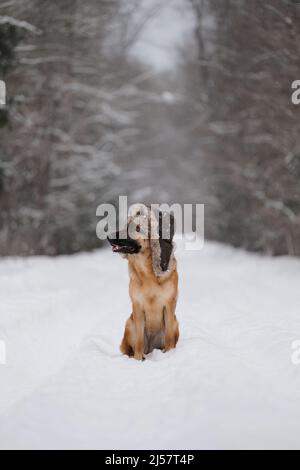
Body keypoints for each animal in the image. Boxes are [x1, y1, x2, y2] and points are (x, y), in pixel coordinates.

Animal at [107, 204, 179, 362]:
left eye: (136, 228)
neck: (148, 275)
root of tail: (151, 347)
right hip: (129, 323)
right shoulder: (138, 307)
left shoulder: (169, 306)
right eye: (125, 225)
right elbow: (139, 340)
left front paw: (169, 355)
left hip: (176, 322)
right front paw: (138, 359)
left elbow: (169, 337)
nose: (109, 236)